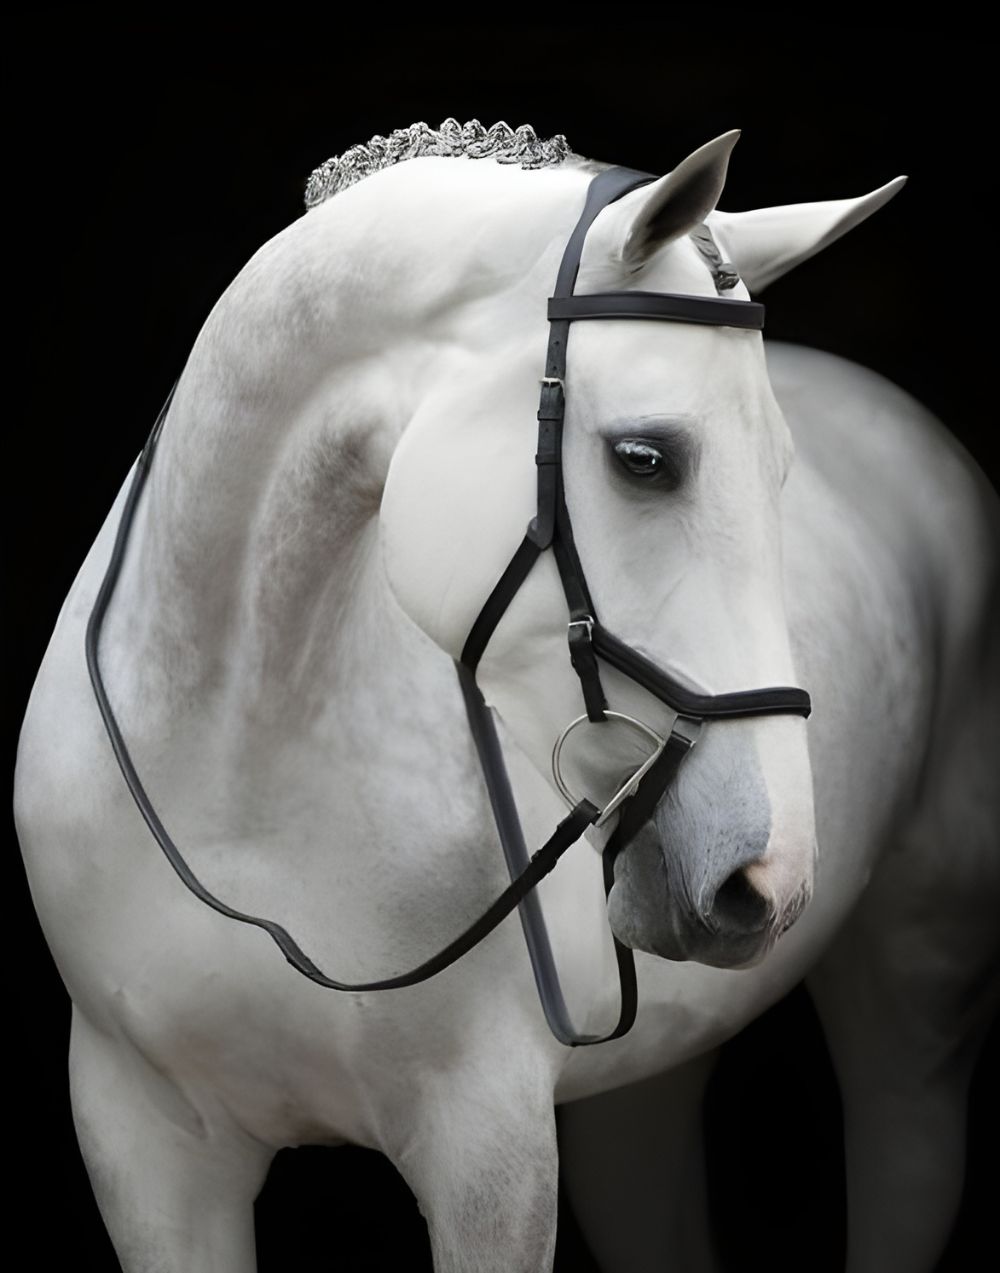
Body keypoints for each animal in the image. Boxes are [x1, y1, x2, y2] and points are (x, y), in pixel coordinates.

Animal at [14, 119, 999, 1272]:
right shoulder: (143, 1141)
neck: (235, 779)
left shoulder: (488, 1147)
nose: (770, 876)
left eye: (782, 471)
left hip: (914, 997)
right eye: (645, 459)